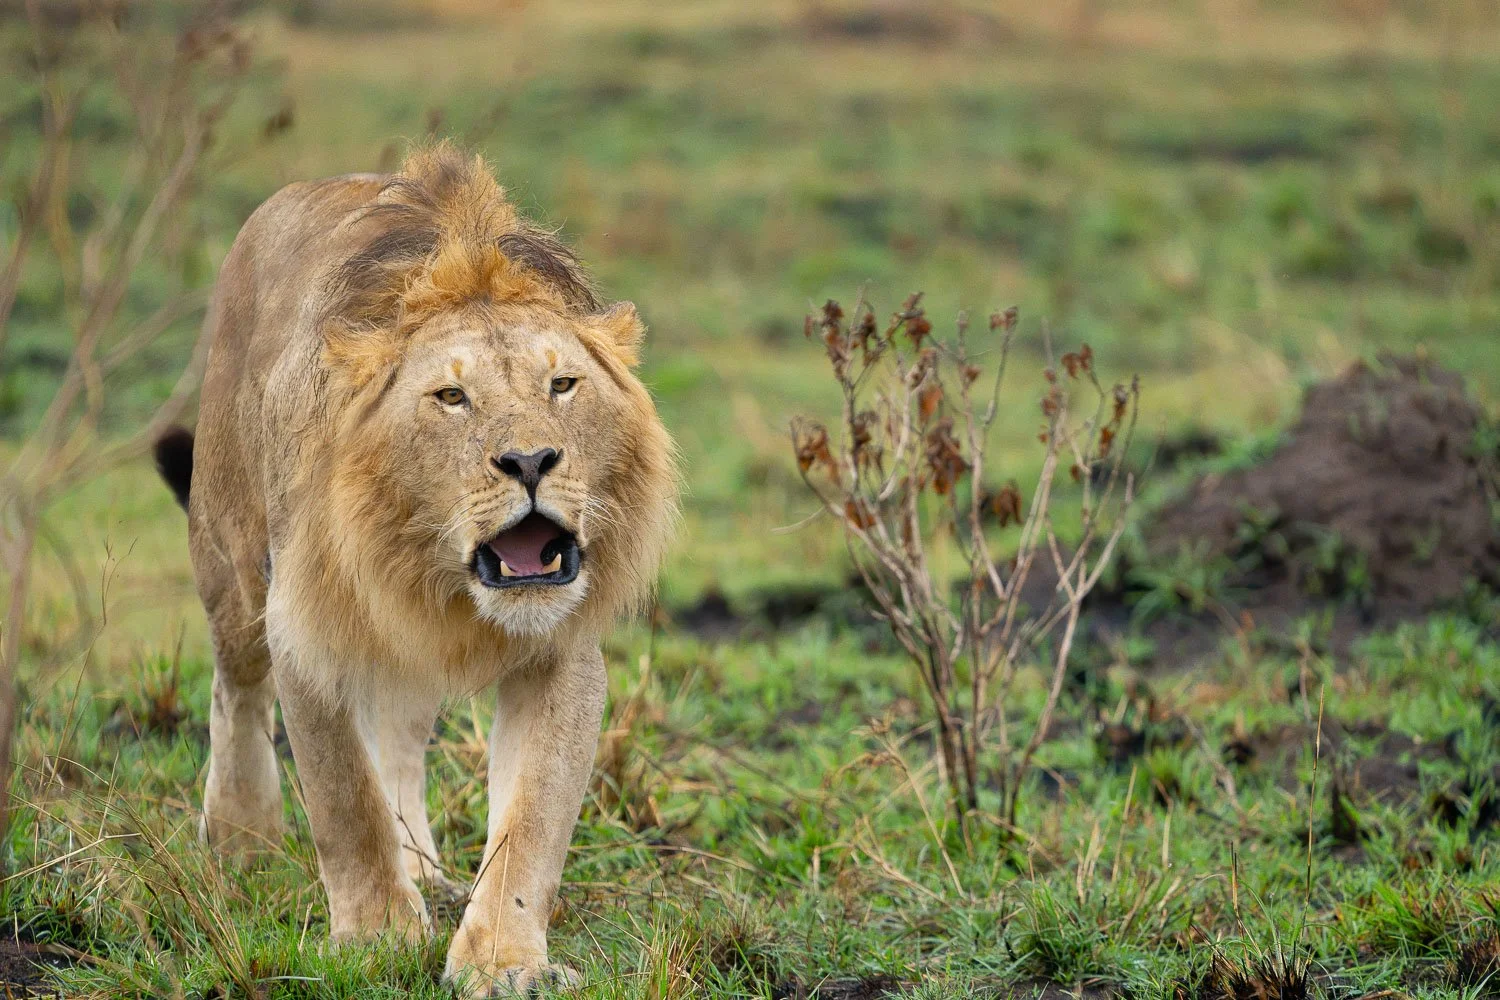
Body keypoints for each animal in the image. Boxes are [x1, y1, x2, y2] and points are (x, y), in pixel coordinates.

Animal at [153, 144, 676, 996]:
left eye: (563, 384)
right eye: (451, 396)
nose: (531, 460)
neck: (434, 574)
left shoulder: (560, 653)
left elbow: (532, 818)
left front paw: (502, 960)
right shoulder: (303, 627)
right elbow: (344, 800)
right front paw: (377, 939)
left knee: (396, 737)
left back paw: (425, 871)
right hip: (231, 559)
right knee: (236, 688)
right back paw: (241, 840)